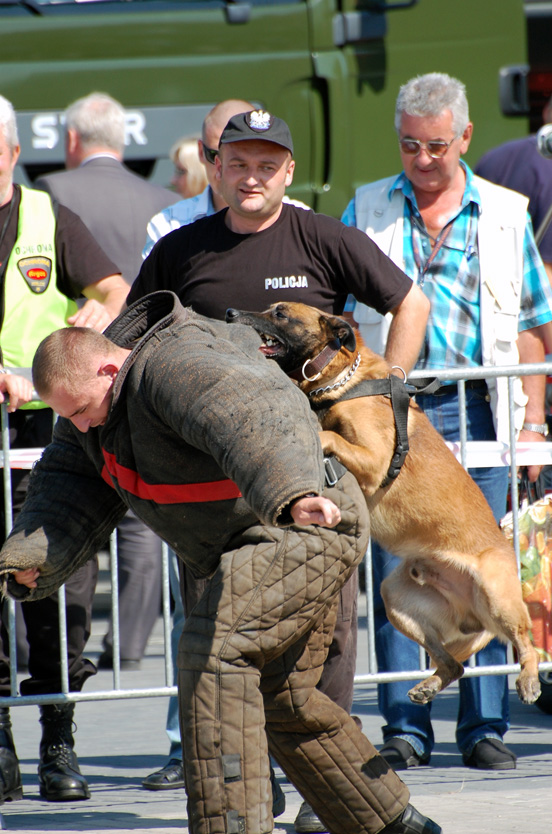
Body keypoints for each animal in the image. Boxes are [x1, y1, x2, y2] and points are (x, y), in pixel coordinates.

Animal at [226, 300, 540, 704]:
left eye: (280, 313)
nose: (230, 313)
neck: (339, 376)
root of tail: (473, 614)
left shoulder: (374, 460)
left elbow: (328, 435)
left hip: (496, 594)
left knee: (527, 642)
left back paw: (529, 678)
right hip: (395, 598)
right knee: (453, 665)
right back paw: (428, 684)